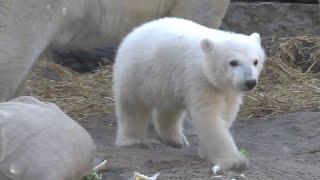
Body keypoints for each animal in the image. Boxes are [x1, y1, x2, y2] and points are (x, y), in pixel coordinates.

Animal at [112, 17, 264, 172]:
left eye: (255, 61)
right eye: (233, 62)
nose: (250, 82)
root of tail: (133, 32)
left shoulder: (228, 89)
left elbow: (226, 114)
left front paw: (206, 151)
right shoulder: (199, 78)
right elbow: (209, 117)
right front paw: (235, 162)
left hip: (168, 81)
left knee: (169, 108)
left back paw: (175, 139)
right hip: (137, 71)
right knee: (132, 105)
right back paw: (132, 140)